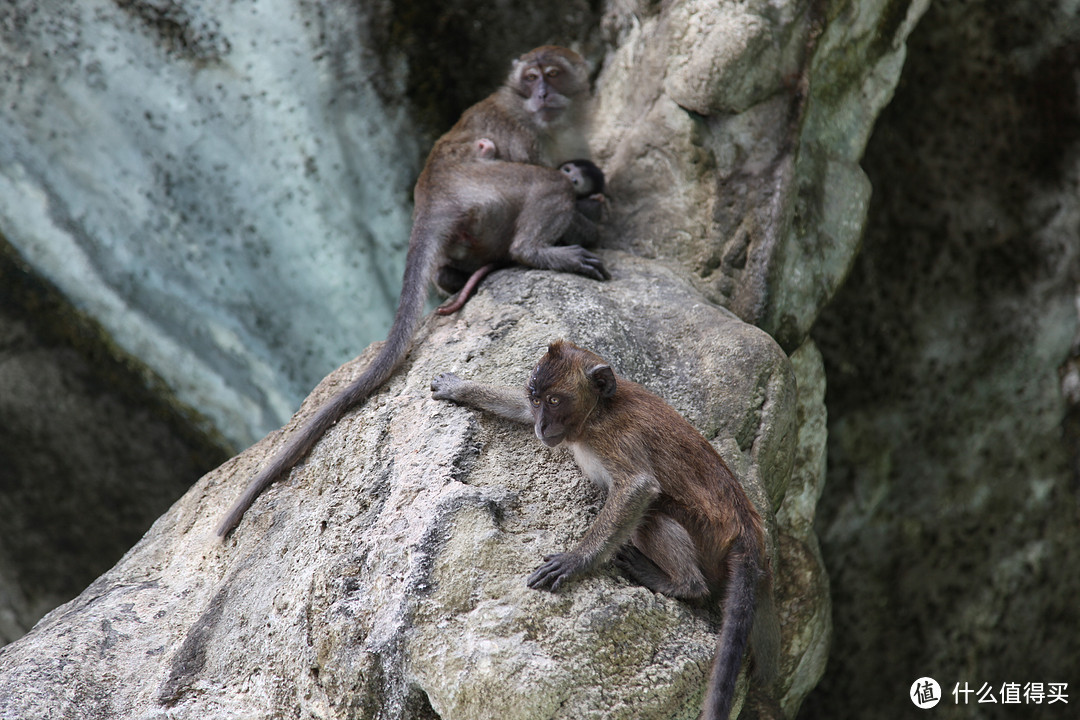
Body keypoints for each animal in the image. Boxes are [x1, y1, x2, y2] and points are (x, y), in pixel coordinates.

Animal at [429, 338, 777, 720]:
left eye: (555, 401)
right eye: (537, 399)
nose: (541, 426)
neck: (598, 412)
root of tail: (747, 529)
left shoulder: (618, 437)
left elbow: (638, 487)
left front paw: (576, 560)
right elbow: (518, 409)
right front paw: (460, 387)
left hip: (708, 535)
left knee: (651, 515)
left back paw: (682, 584)